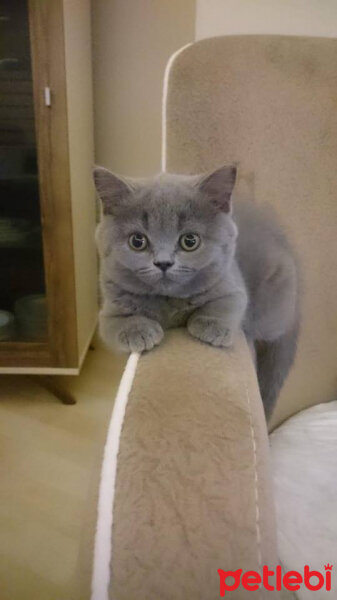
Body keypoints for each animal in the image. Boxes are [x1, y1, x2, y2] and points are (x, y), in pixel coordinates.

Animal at [93, 164, 298, 418]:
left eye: (190, 241)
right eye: (137, 241)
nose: (163, 263)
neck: (169, 301)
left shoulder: (232, 283)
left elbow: (226, 303)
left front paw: (211, 326)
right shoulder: (109, 309)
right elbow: (116, 323)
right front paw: (138, 331)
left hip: (271, 308)